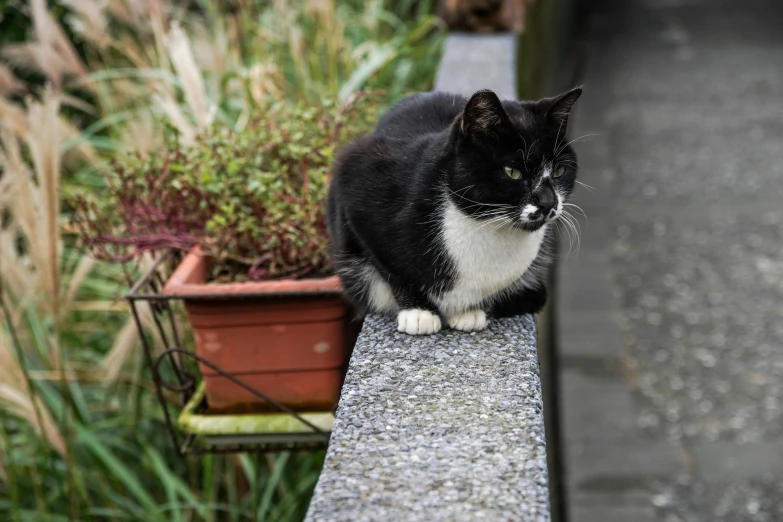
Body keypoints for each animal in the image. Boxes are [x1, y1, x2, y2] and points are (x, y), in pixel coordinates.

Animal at [326, 87, 580, 334]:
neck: (482, 223)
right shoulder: (357, 181)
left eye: (559, 171)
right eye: (513, 172)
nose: (548, 203)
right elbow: (390, 268)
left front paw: (471, 311)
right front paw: (418, 312)